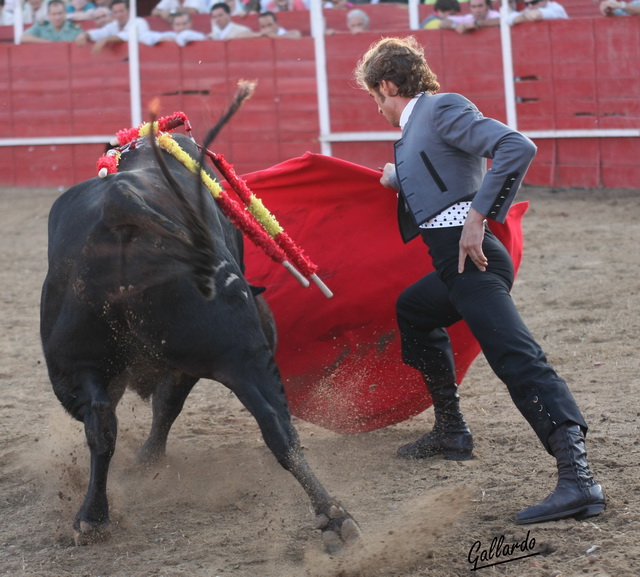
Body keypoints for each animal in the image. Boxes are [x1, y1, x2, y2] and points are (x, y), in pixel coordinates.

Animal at [40, 133, 360, 552]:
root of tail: (120, 203)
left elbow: (155, 409)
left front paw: (146, 460)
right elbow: (167, 406)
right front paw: (149, 458)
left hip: (77, 365)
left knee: (100, 422)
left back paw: (91, 518)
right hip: (236, 353)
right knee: (275, 423)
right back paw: (333, 515)